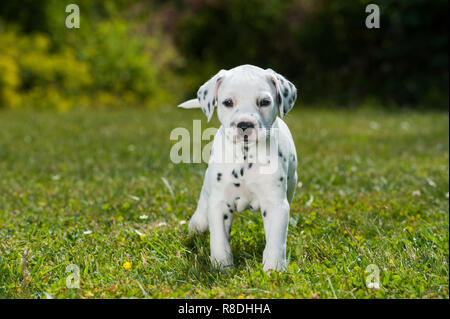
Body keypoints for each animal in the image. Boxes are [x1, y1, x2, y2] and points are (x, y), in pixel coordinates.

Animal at [178, 65, 298, 272]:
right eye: (228, 102)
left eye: (264, 102)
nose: (245, 124)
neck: (245, 156)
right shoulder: (220, 204)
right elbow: (219, 239)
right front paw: (221, 266)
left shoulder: (275, 204)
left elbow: (275, 241)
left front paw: (274, 269)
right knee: (203, 207)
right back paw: (197, 225)